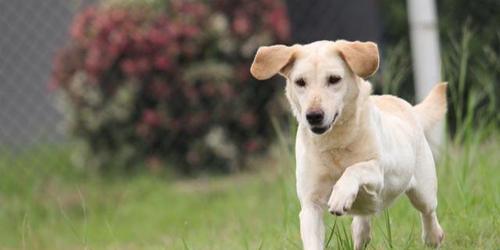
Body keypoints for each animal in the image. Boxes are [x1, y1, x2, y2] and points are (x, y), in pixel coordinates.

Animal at [249, 40, 446, 249]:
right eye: (300, 82)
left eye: (334, 79)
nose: (313, 116)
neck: (335, 142)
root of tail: (408, 108)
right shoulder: (311, 204)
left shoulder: (378, 173)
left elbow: (355, 168)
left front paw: (340, 194)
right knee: (363, 224)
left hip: (423, 191)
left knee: (428, 212)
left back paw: (433, 236)